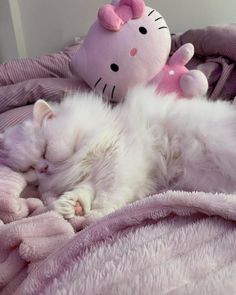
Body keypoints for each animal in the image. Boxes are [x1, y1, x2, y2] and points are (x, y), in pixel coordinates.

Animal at [1, 85, 236, 224]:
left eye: (45, 150)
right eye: (29, 169)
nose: (42, 168)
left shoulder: (119, 157)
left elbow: (109, 193)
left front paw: (95, 216)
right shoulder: (93, 175)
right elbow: (85, 191)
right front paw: (73, 207)